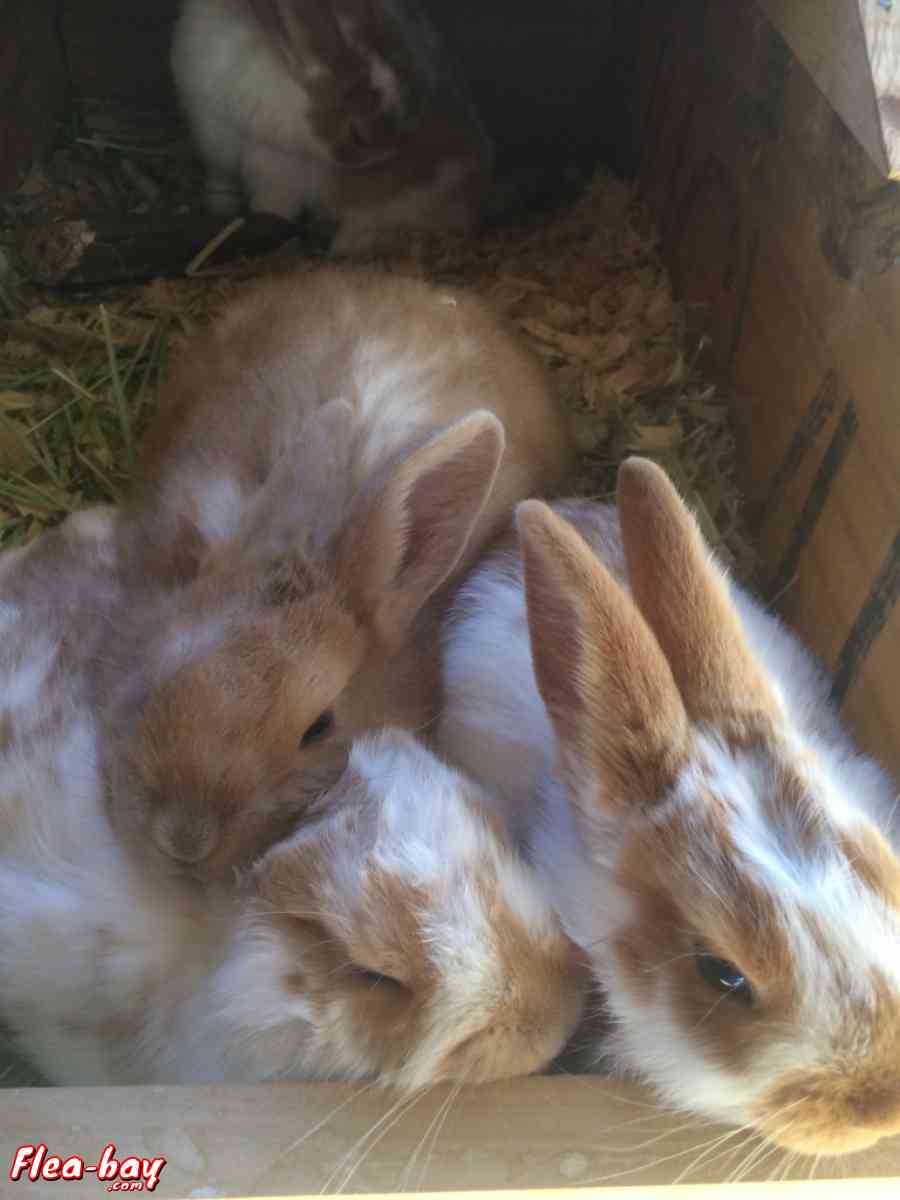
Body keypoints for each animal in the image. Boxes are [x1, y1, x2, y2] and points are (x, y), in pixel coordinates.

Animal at [171, 0, 494, 254]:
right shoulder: (217, 147)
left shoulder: (275, 169)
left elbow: (273, 206)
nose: (392, 152)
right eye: (360, 136)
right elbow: (227, 190)